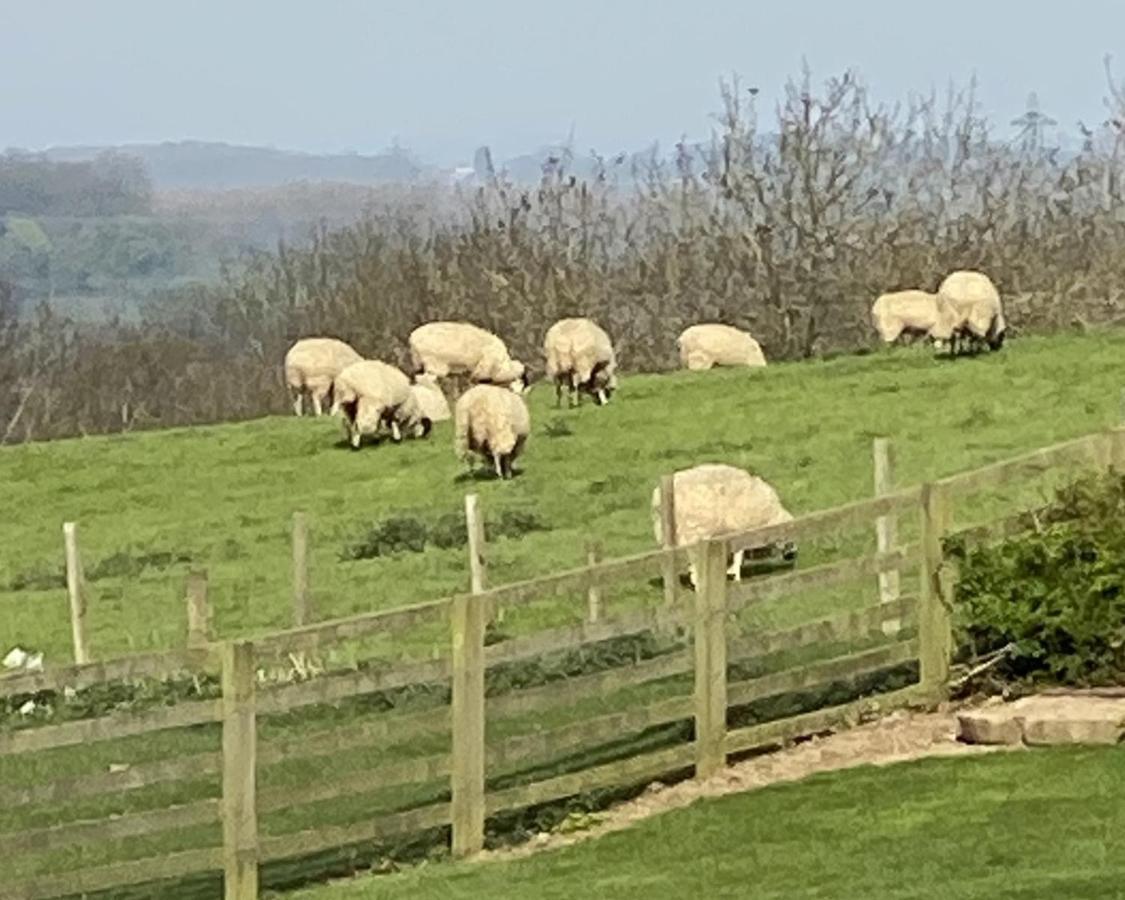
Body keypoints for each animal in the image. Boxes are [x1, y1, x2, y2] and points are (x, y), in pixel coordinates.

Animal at [652, 463, 801, 589]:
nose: (792, 555)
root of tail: (658, 499)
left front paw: (728, 570)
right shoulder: (741, 529)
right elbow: (739, 554)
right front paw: (735, 575)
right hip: (693, 531)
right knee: (694, 559)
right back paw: (698, 583)